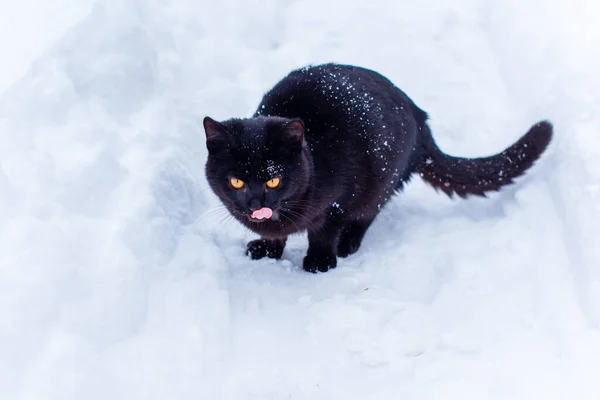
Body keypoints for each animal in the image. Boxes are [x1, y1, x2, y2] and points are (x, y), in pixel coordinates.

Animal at [202, 64, 552, 274]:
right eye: (237, 181)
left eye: (274, 180)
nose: (255, 203)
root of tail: (419, 116)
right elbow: (275, 235)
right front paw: (267, 248)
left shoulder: (339, 201)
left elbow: (323, 232)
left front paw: (320, 260)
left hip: (380, 180)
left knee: (369, 212)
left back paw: (348, 244)